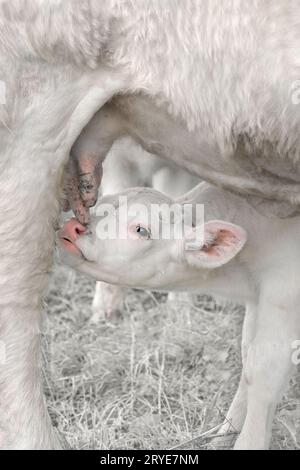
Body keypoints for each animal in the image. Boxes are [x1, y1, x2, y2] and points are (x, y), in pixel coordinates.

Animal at [1, 0, 300, 450]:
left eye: (141, 230)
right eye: (105, 204)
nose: (73, 229)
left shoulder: (279, 291)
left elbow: (261, 368)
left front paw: (237, 433)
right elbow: (254, 361)